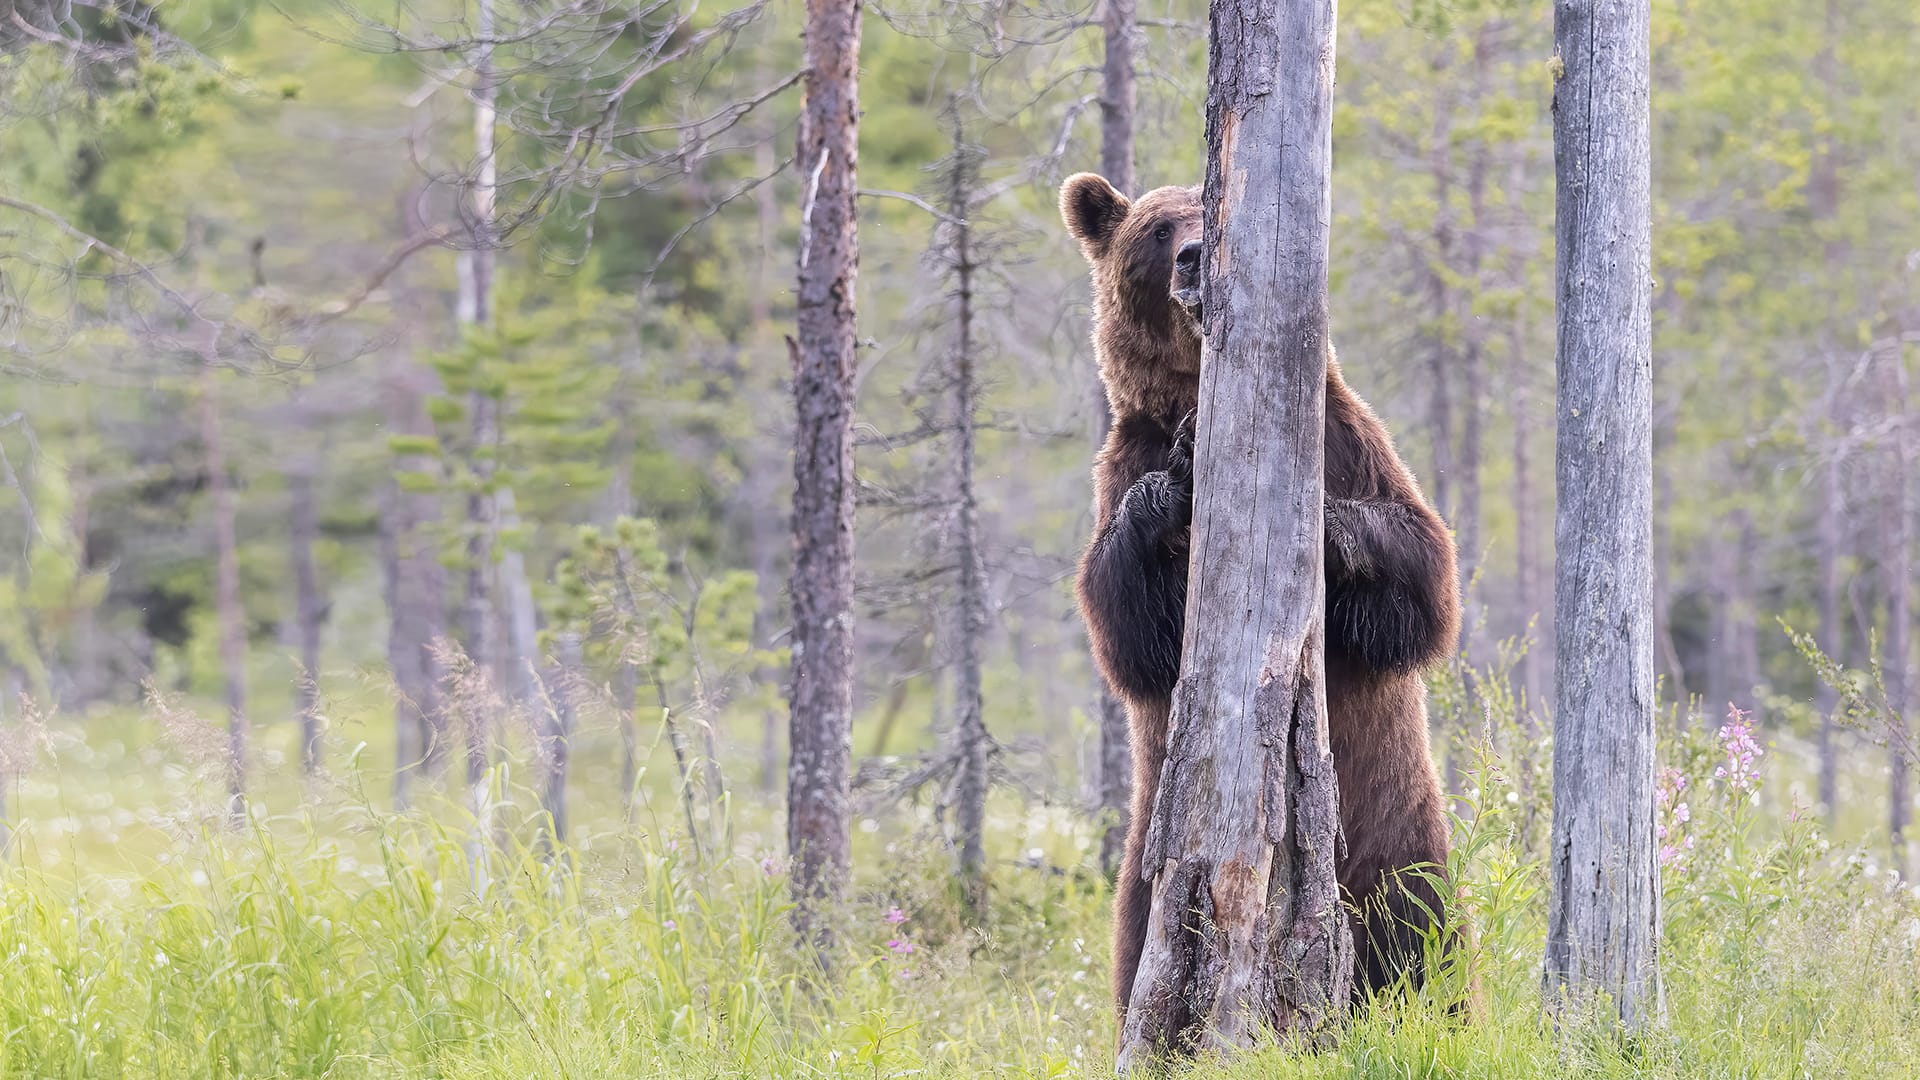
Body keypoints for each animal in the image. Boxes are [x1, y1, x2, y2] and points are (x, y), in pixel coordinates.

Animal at [1059, 172, 1461, 1019]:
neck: (1198, 399)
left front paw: (1327, 524)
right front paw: (1172, 487)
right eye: (1155, 230)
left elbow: (1421, 573)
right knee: (1138, 941)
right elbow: (1127, 631)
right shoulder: (1124, 458)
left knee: (1419, 933)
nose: (1192, 254)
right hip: (1154, 867)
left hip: (1399, 835)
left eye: (1204, 211)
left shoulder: (1347, 435)